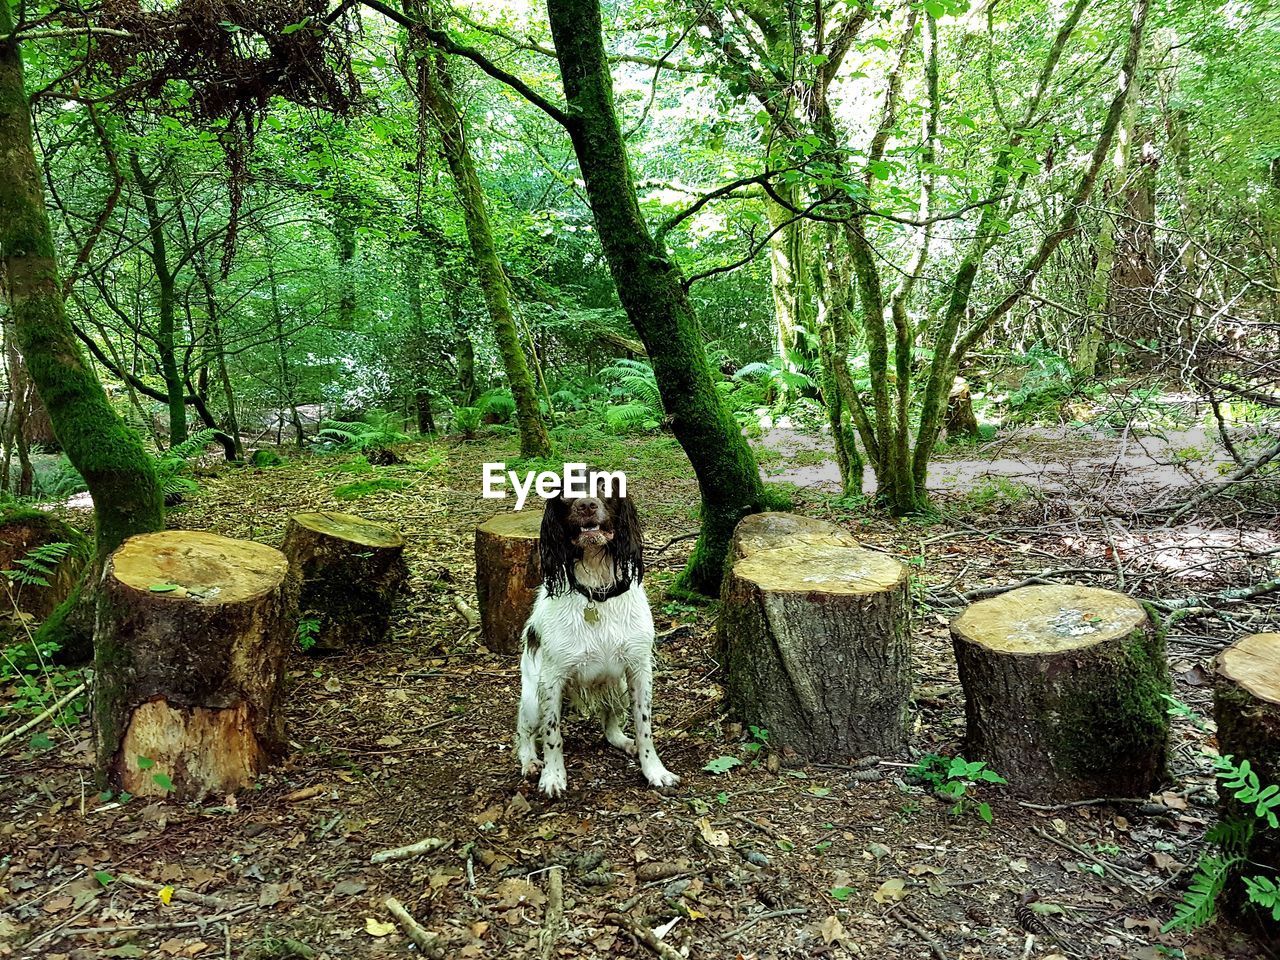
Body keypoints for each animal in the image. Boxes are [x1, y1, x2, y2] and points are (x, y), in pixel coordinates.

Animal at [517, 488, 686, 798]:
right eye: (565, 492)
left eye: (605, 485)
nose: (586, 505)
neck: (597, 591)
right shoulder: (552, 679)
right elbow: (552, 734)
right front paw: (553, 776)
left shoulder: (639, 670)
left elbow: (644, 726)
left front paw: (654, 770)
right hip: (533, 696)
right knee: (524, 730)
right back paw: (530, 761)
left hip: (617, 687)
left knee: (609, 725)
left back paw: (625, 742)